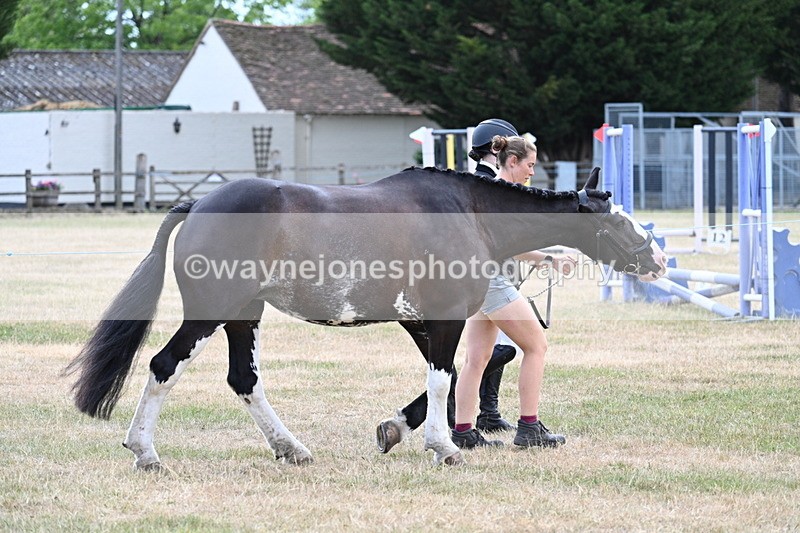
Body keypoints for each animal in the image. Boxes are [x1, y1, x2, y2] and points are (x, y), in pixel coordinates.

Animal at [65, 166, 666, 468]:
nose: (656, 260)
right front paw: (445, 447)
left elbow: (445, 381)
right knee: (165, 367)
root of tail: (199, 204)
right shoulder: (445, 317)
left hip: (244, 315)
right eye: (616, 220)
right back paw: (145, 453)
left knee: (244, 380)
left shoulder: (420, 321)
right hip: (211, 315)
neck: (467, 213)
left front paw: (396, 429)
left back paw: (291, 449)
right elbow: (444, 380)